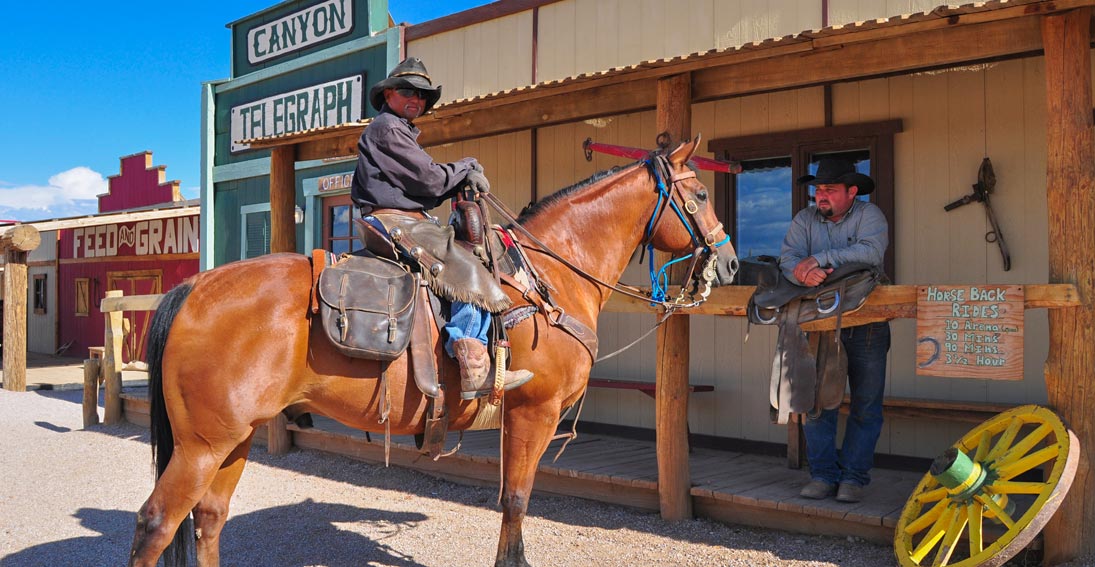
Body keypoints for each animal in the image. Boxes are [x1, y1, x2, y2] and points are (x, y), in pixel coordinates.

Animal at [132, 137, 740, 567]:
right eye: (701, 195)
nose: (732, 263)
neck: (550, 279)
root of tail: (195, 289)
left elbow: (511, 500)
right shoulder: (534, 412)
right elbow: (516, 502)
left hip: (234, 437)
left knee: (209, 519)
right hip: (201, 445)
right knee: (156, 525)